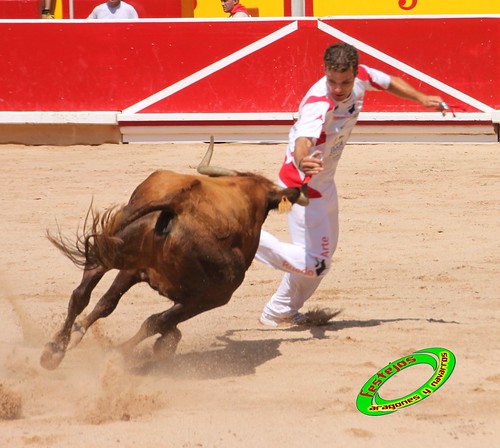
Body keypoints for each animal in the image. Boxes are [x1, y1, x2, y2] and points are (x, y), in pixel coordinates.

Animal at [39, 138, 306, 370]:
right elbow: (159, 322)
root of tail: (179, 203)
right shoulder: (211, 297)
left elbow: (118, 307)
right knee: (146, 317)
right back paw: (109, 354)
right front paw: (159, 346)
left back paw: (55, 350)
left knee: (84, 294)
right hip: (210, 293)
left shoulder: (144, 274)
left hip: (119, 247)